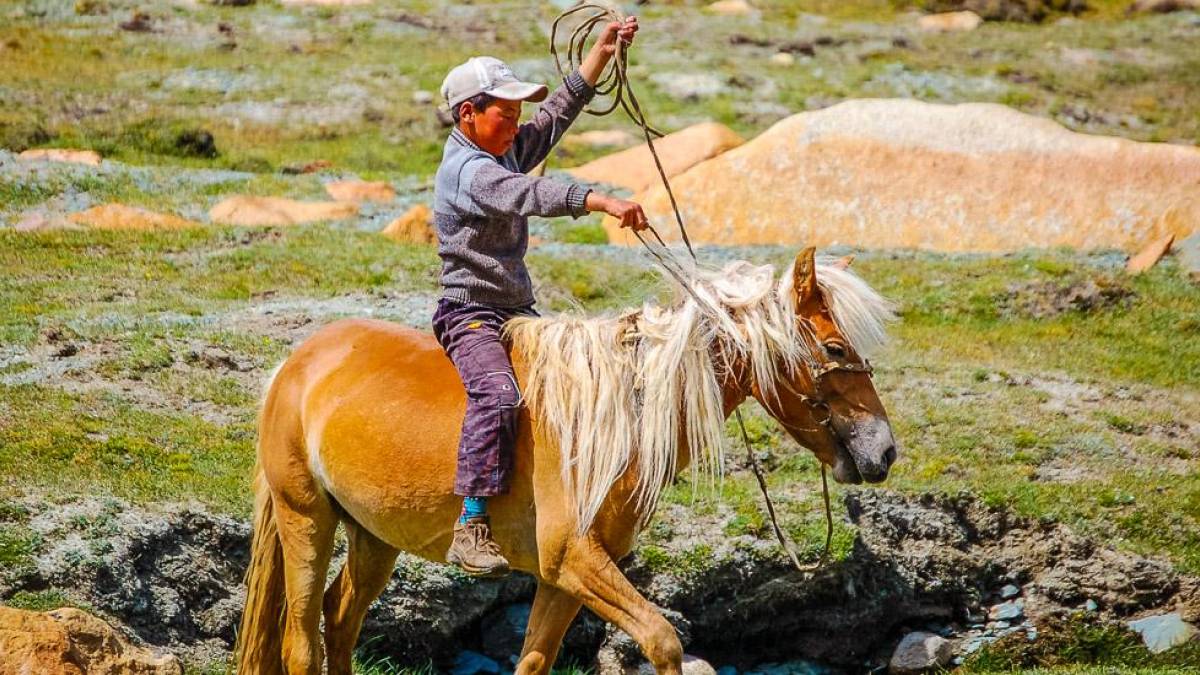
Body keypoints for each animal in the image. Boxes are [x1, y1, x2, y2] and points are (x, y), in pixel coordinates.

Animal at [234, 247, 898, 674]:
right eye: (834, 348)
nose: (884, 450)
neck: (618, 415)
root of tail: (296, 363)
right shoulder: (572, 557)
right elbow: (662, 639)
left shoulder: (564, 575)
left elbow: (534, 661)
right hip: (306, 520)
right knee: (301, 644)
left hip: (373, 536)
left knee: (341, 619)